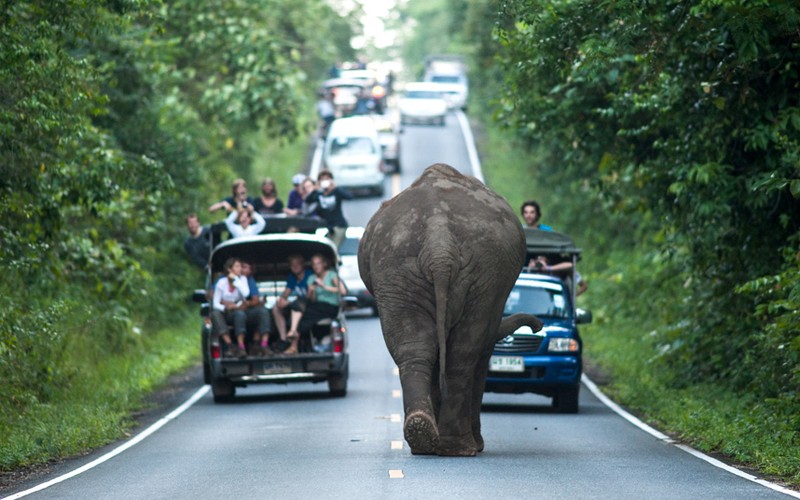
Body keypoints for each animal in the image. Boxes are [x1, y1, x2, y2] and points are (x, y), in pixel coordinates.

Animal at [358, 163, 540, 458]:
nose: (538, 326)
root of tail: (439, 245)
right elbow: (481, 351)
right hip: (480, 276)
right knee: (464, 353)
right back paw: (460, 448)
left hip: (397, 271)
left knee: (415, 348)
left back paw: (423, 437)